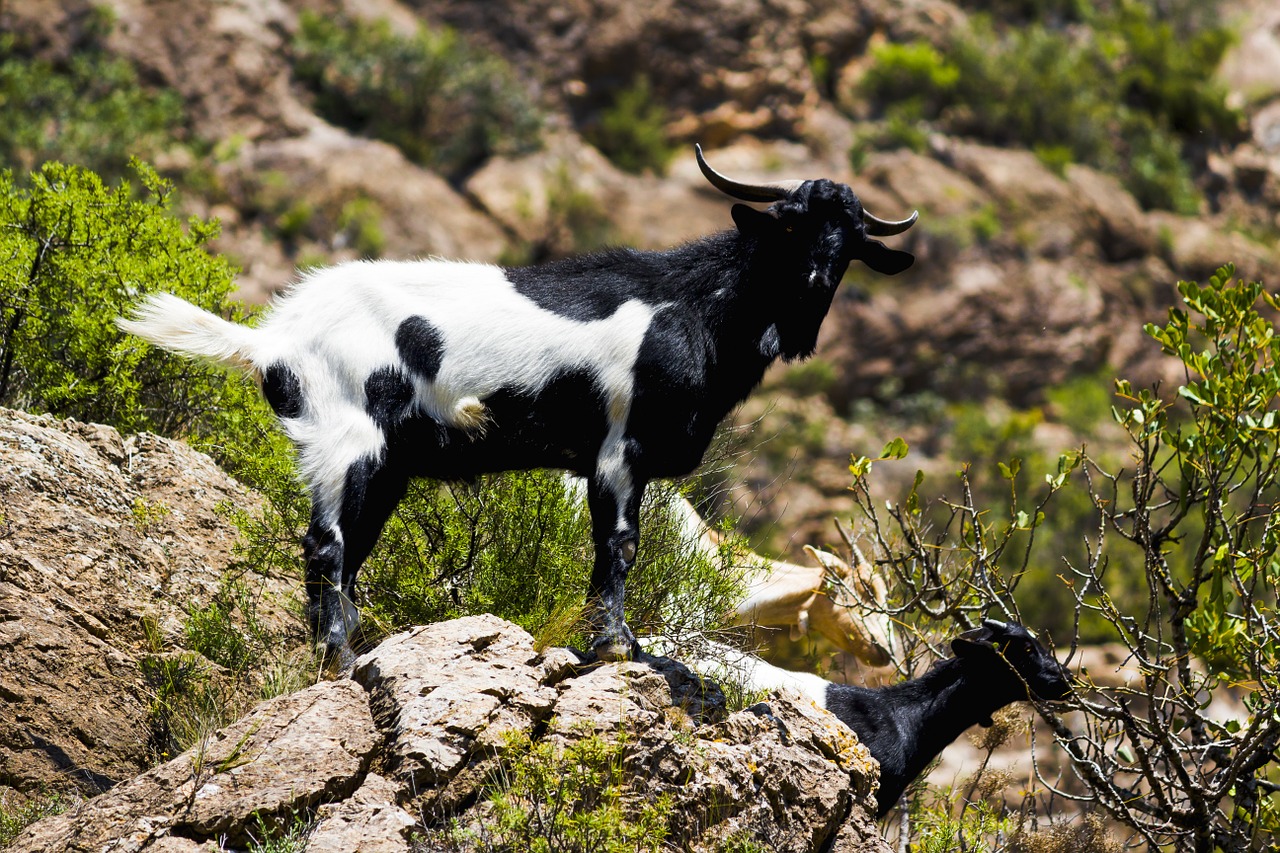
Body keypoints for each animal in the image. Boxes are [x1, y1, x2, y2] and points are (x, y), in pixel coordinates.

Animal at [115, 144, 921, 666]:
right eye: (791, 222)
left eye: (849, 241)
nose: (813, 290)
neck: (691, 306)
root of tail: (273, 336)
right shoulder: (617, 451)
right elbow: (619, 546)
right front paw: (615, 645)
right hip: (346, 443)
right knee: (327, 546)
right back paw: (340, 657)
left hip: (385, 465)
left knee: (348, 548)